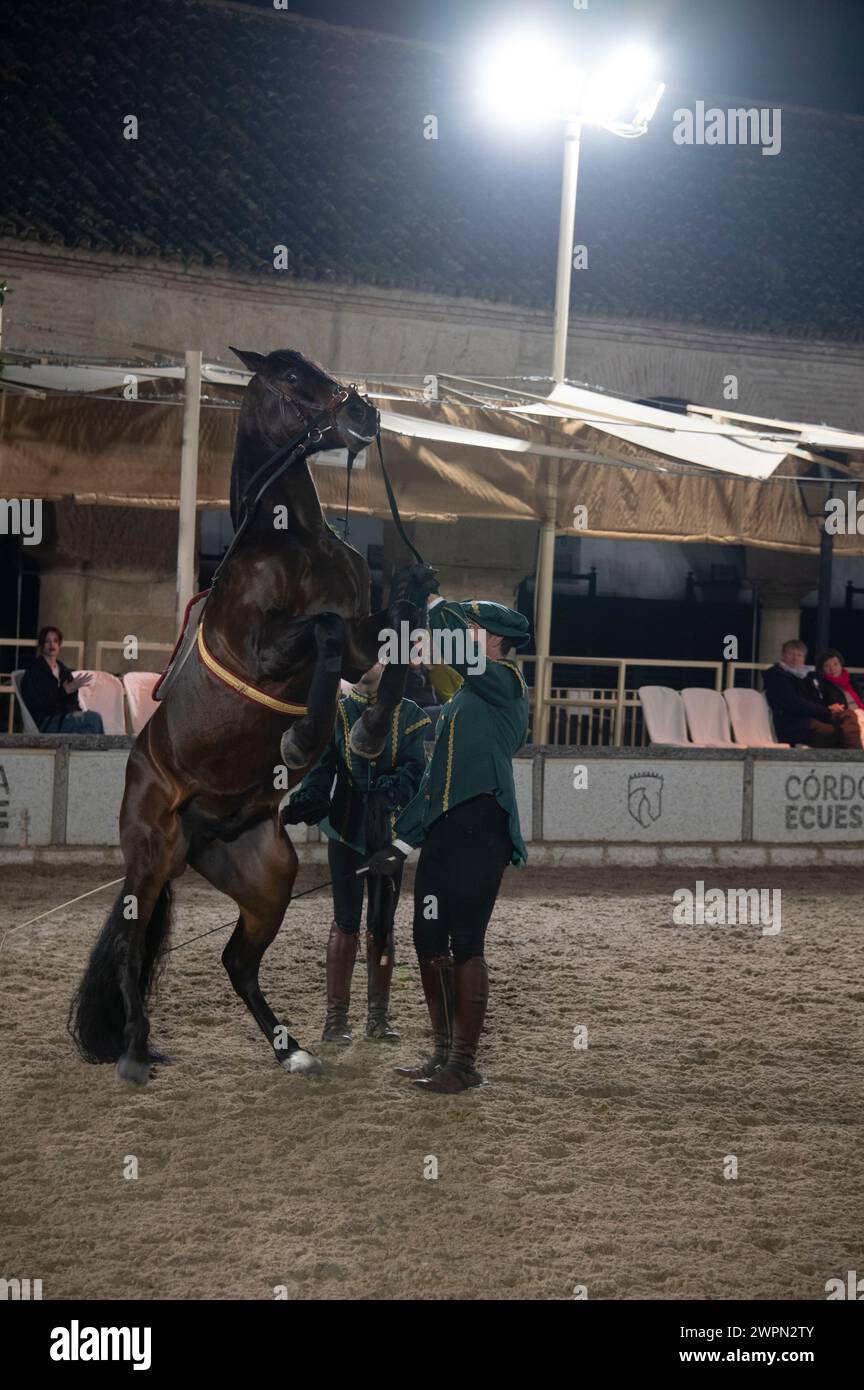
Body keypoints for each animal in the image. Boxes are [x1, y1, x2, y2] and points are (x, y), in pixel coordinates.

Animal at [69, 347, 433, 1084]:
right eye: (293, 378)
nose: (364, 413)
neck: (293, 540)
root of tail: (198, 833)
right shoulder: (273, 647)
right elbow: (324, 630)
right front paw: (303, 741)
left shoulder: (362, 642)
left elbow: (400, 626)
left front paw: (369, 731)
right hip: (148, 860)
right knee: (131, 947)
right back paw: (133, 1054)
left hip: (268, 876)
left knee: (236, 962)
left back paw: (290, 1050)